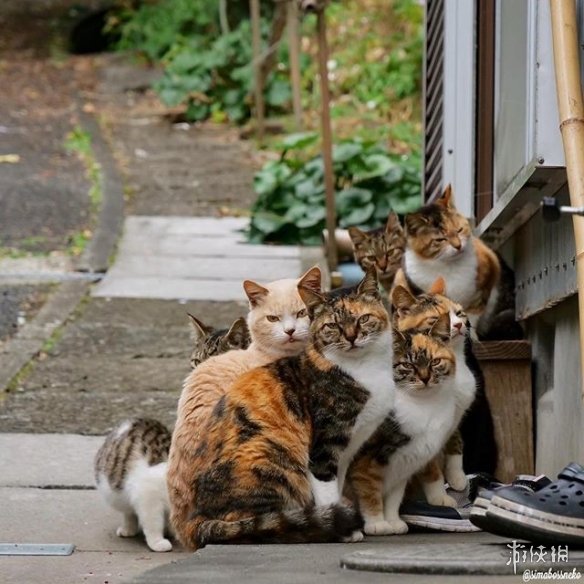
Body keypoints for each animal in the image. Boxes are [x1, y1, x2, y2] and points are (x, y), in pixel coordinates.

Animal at [95, 418, 173, 548]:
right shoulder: (148, 496)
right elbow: (153, 522)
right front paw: (157, 542)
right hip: (119, 495)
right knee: (129, 513)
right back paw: (128, 529)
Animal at [170, 268, 396, 548]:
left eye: (364, 318)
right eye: (332, 326)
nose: (352, 337)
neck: (364, 369)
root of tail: (196, 518)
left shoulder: (347, 450)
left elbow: (339, 482)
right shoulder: (324, 448)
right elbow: (328, 491)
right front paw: (343, 528)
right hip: (270, 458)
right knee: (250, 525)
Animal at [346, 324, 460, 532]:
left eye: (435, 362)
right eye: (407, 365)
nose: (425, 378)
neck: (423, 407)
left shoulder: (405, 462)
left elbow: (394, 497)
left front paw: (393, 521)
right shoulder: (366, 458)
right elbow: (369, 491)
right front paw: (377, 524)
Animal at [402, 186, 520, 342]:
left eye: (459, 230)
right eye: (440, 239)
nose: (458, 246)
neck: (446, 266)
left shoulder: (486, 280)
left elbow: (472, 314)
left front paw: (471, 337)